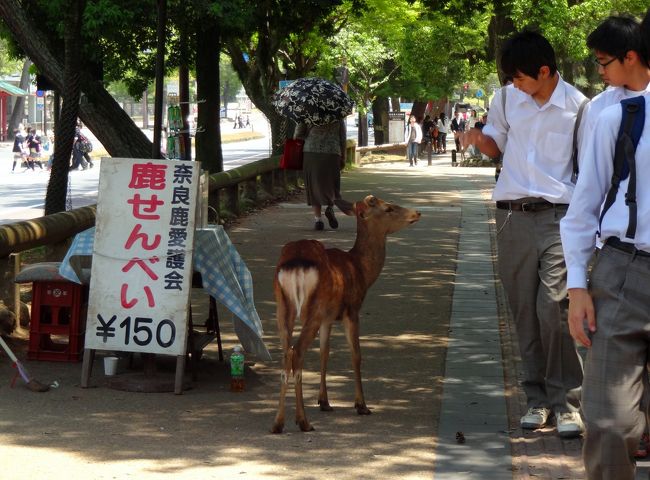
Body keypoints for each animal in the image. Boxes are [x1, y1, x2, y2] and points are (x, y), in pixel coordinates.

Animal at [271, 195, 421, 433]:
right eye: (388, 208)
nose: (417, 212)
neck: (361, 269)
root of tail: (294, 265)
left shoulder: (328, 318)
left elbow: (325, 352)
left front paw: (324, 402)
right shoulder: (352, 309)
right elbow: (356, 355)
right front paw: (362, 405)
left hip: (283, 307)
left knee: (287, 353)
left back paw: (278, 423)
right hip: (313, 308)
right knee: (298, 352)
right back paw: (303, 422)